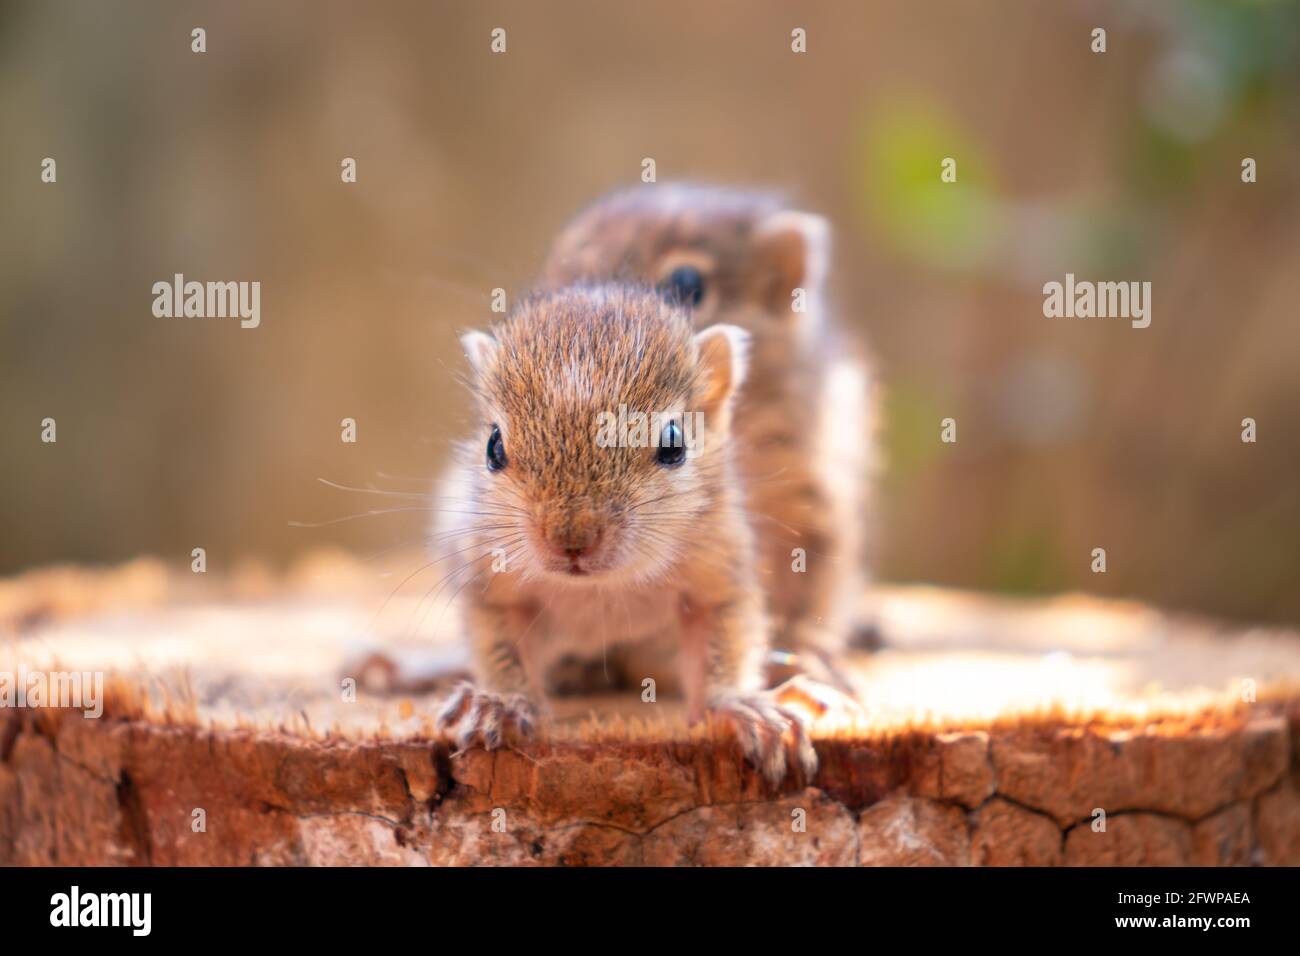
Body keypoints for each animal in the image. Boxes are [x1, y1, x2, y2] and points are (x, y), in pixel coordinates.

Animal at [431, 283, 811, 785]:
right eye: (494, 447)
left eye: (673, 443)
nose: (570, 539)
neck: (600, 587)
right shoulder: (489, 580)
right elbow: (499, 643)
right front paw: (501, 703)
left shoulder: (719, 575)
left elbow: (724, 641)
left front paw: (739, 706)